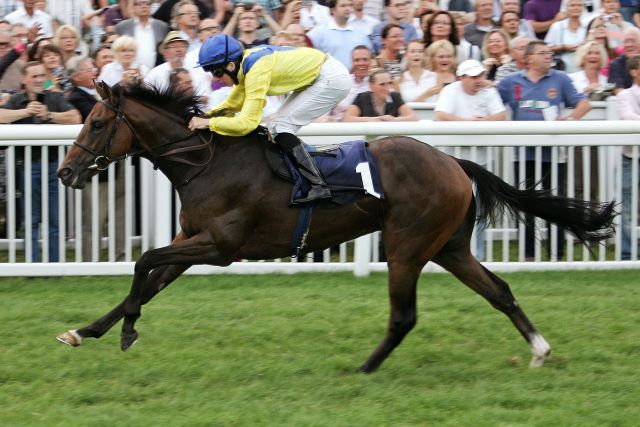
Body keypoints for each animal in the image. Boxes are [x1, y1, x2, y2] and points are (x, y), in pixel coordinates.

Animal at [55, 83, 616, 372]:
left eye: (98, 123)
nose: (64, 172)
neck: (206, 161)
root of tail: (453, 161)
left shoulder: (219, 246)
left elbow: (143, 262)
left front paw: (127, 330)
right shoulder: (191, 241)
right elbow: (150, 279)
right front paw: (86, 330)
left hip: (407, 246)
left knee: (404, 315)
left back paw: (365, 368)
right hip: (449, 247)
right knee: (499, 290)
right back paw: (539, 349)